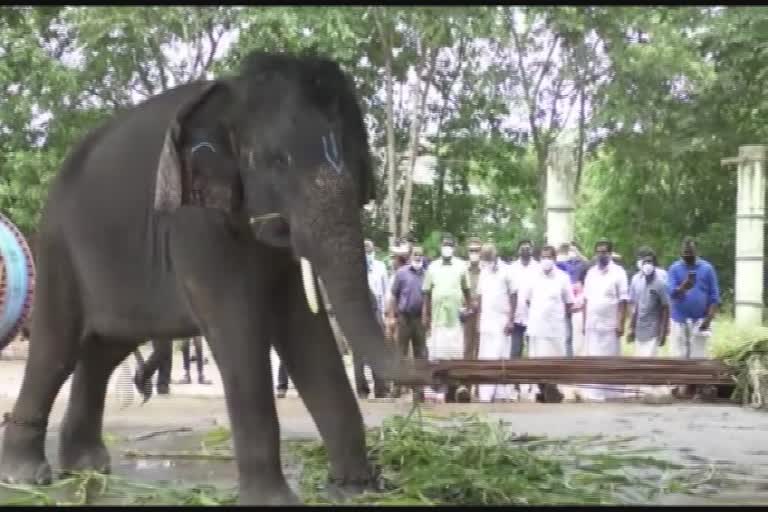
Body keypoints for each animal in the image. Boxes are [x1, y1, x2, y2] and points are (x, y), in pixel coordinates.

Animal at [0, 50, 420, 506]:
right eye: (275, 160)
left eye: (352, 156)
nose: (438, 372)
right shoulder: (192, 223)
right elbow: (239, 329)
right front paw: (274, 502)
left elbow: (304, 328)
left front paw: (356, 491)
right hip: (58, 246)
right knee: (56, 348)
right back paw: (27, 475)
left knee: (103, 349)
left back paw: (87, 468)